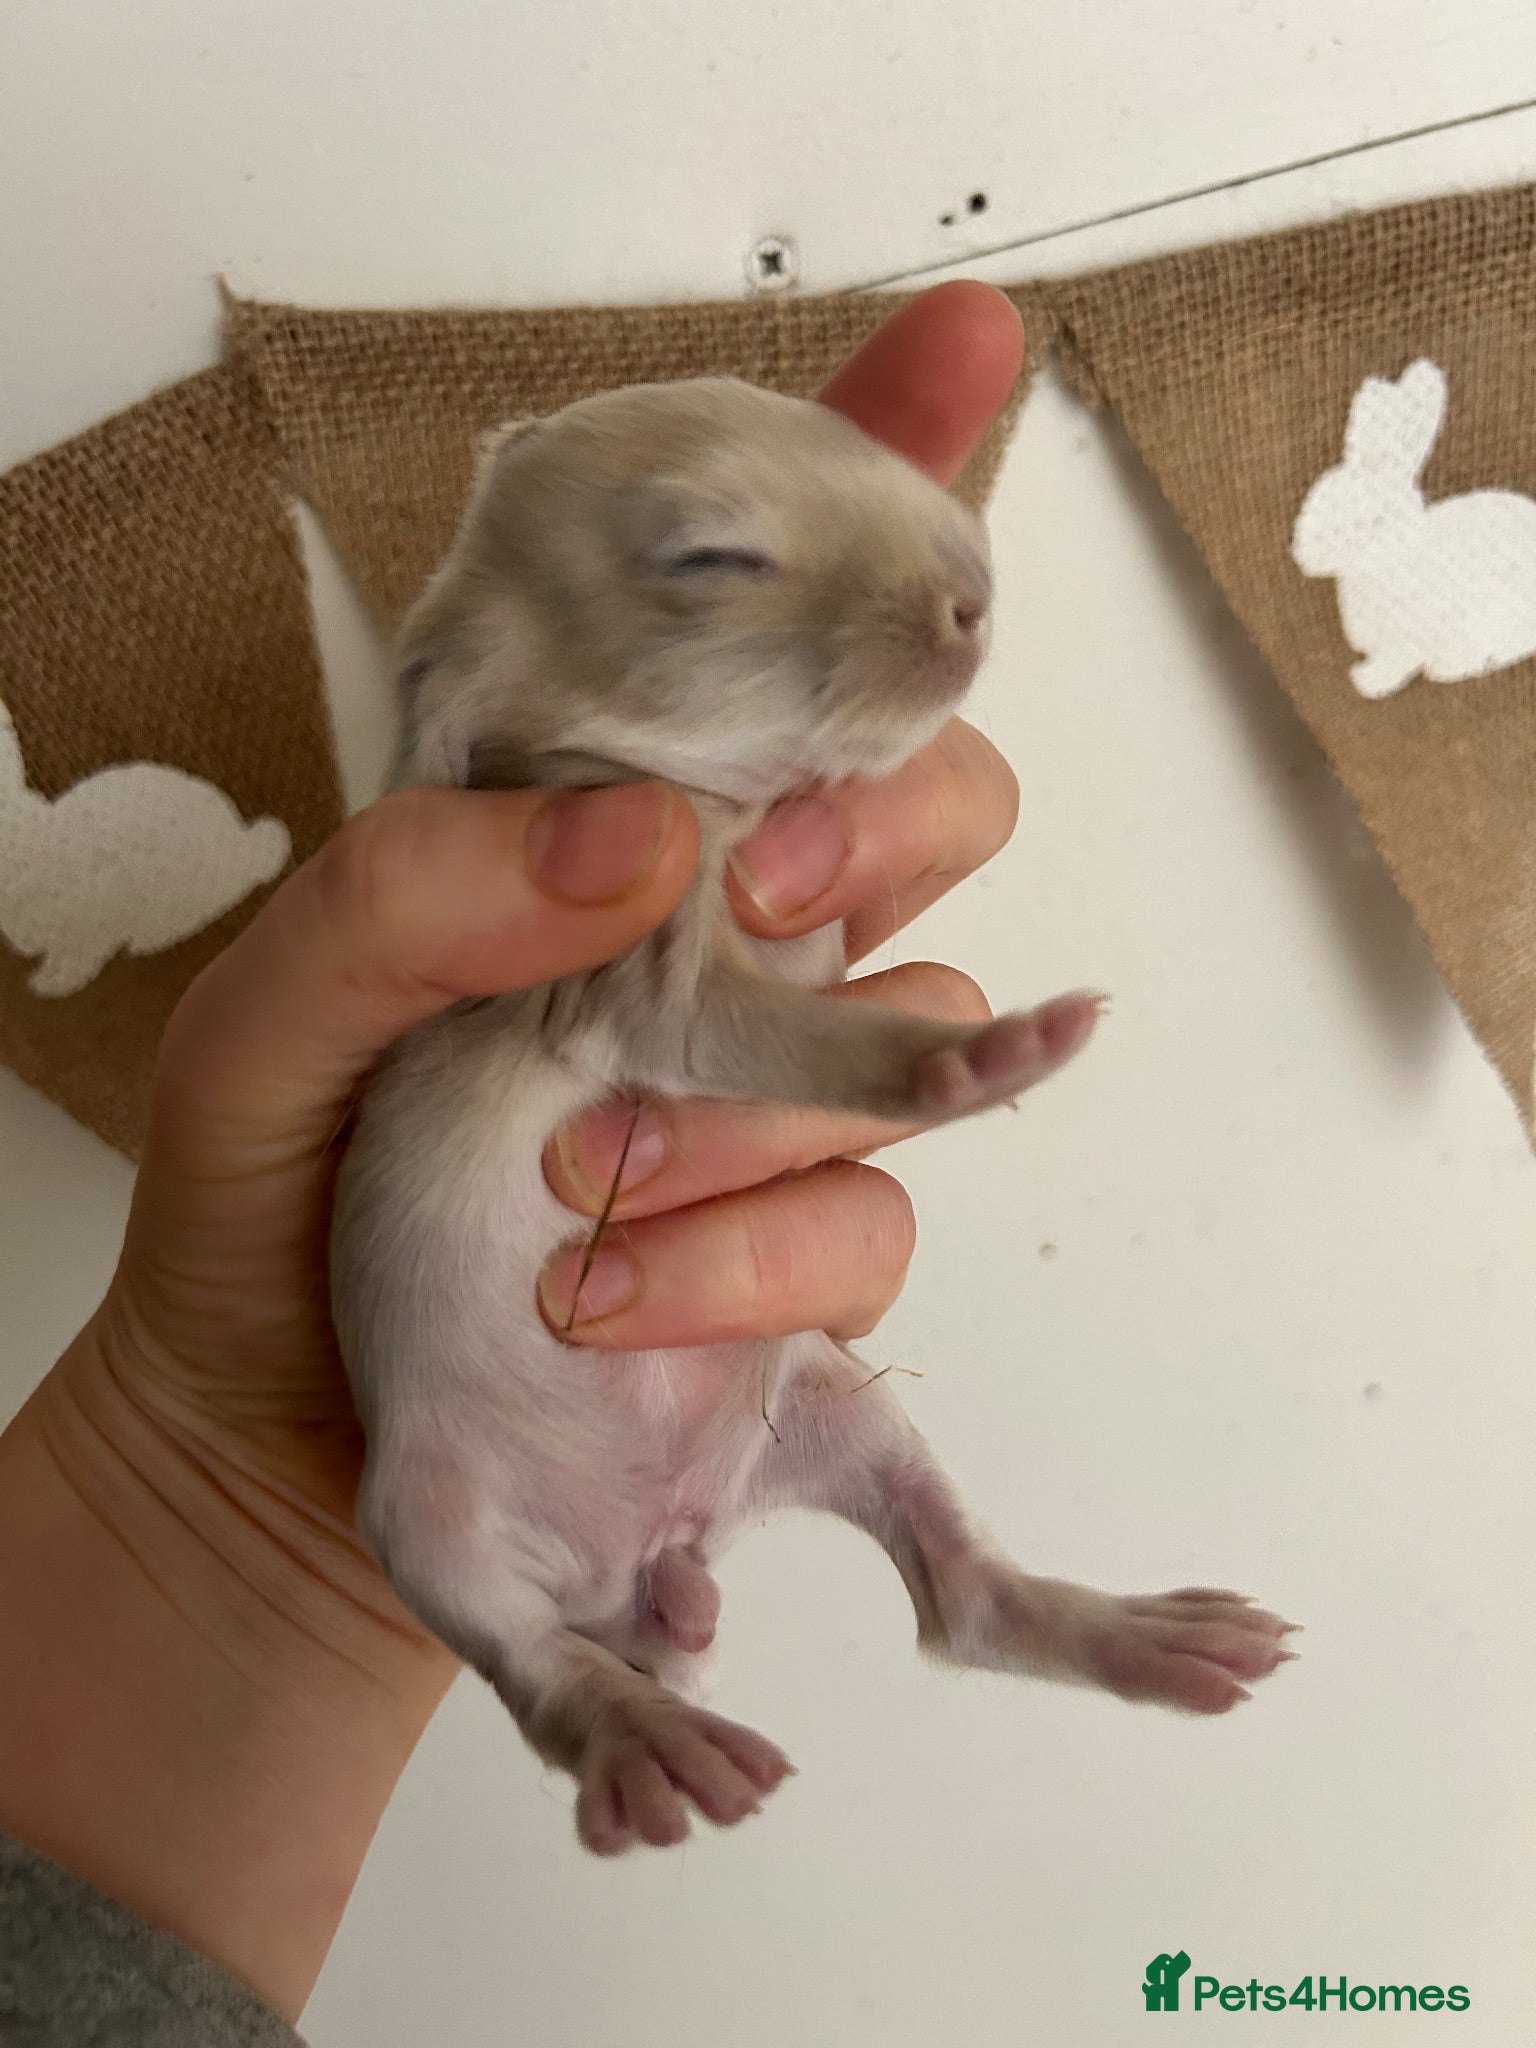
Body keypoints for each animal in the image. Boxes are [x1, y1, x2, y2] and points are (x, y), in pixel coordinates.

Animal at [331, 376, 1296, 1858]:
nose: (974, 594)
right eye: (713, 558)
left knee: (963, 1602)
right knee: (528, 1661)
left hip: (835, 1401)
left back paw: (1145, 1635)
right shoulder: (628, 965)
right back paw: (640, 1737)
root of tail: (639, 1559)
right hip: (424, 1516)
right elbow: (752, 1031)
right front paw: (982, 1057)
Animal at [1292, 357, 1536, 700]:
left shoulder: (1413, 641)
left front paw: (1366, 681)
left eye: (1371, 521)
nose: (1302, 556)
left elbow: (1399, 664)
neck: (1398, 555)